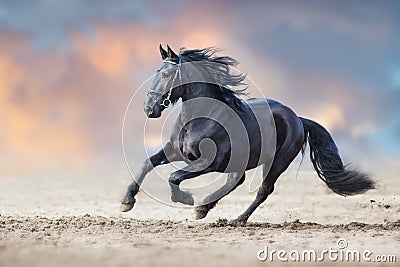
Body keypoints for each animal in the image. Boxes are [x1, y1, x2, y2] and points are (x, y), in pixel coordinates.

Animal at [121, 45, 376, 225]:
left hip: (277, 162)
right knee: (237, 180)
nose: (149, 109)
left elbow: (174, 177)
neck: (202, 116)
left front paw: (186, 199)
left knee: (262, 190)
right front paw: (126, 202)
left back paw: (235, 218)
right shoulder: (177, 151)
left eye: (166, 74)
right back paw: (205, 209)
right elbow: (148, 163)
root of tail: (298, 119)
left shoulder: (209, 162)